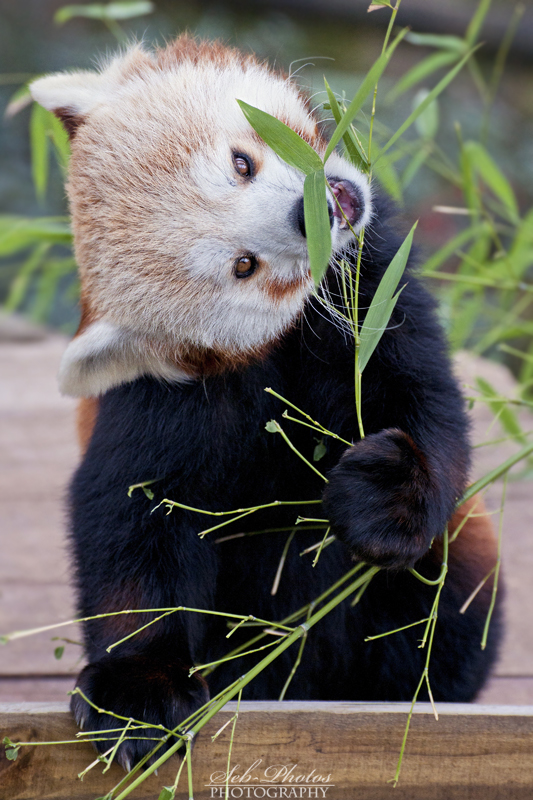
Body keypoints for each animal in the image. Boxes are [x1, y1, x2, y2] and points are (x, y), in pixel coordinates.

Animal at [30, 34, 498, 772]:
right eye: (243, 266)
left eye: (242, 162)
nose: (309, 214)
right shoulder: (165, 397)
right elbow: (130, 512)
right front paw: (137, 687)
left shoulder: (376, 293)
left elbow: (424, 410)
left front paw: (387, 495)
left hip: (455, 566)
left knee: (448, 598)